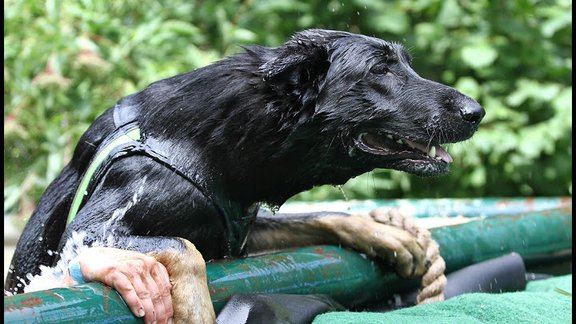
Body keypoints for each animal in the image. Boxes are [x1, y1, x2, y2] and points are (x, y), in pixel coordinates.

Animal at [5, 29, 482, 322]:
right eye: (379, 71)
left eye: (406, 65)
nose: (475, 112)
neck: (212, 142)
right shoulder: (85, 231)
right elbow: (184, 250)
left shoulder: (240, 231)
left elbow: (320, 217)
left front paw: (385, 234)